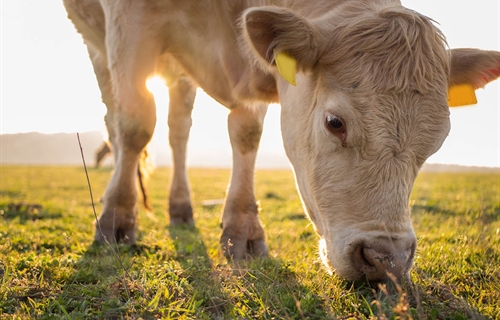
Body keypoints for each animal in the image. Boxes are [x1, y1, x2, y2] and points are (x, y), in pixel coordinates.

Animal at [63, 0, 500, 280]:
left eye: (437, 141)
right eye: (335, 123)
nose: (388, 259)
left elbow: (246, 134)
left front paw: (241, 230)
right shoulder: (128, 21)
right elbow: (135, 123)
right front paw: (116, 219)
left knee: (179, 127)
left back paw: (182, 208)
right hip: (97, 43)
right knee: (117, 118)